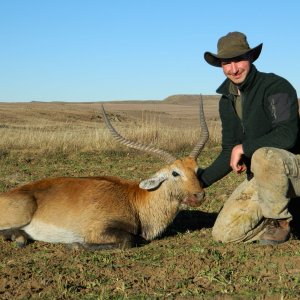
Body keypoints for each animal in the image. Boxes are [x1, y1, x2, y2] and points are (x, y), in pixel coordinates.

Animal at [0, 96, 209, 251]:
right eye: (175, 173)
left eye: (196, 170)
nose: (198, 195)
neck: (134, 200)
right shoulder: (98, 230)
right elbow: (129, 241)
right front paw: (75, 245)